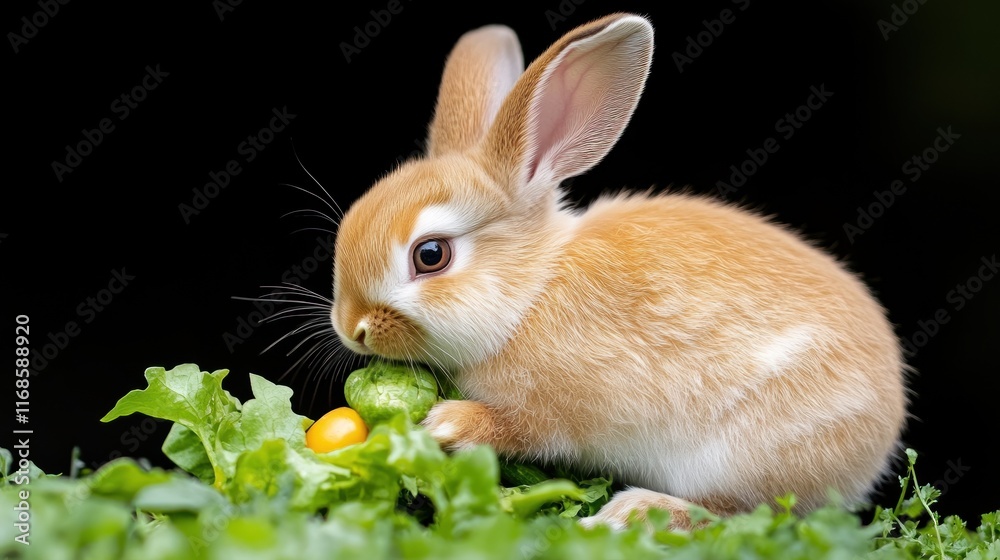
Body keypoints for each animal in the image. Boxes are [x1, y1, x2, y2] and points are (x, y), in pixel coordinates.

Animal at [329, 12, 908, 530]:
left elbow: (525, 428)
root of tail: (880, 437)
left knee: (736, 513)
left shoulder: (557, 409)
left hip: (744, 455)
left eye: (430, 255)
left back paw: (634, 512)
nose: (352, 328)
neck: (530, 294)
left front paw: (447, 424)